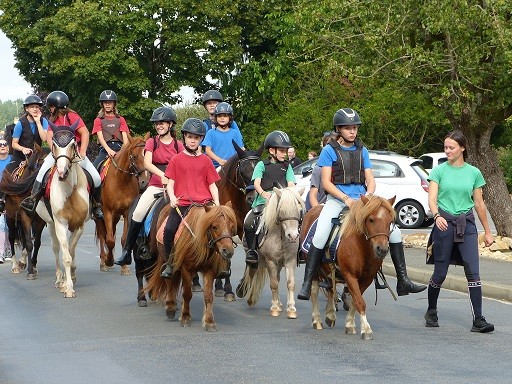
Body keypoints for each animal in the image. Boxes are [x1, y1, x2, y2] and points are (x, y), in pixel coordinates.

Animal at [36, 122, 91, 296]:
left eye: (73, 144)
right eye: (54, 144)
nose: (62, 172)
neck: (69, 192)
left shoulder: (79, 226)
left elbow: (71, 252)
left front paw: (72, 276)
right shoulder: (60, 223)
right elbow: (66, 256)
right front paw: (68, 288)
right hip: (51, 224)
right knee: (56, 248)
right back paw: (60, 280)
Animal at [94, 132, 149, 272]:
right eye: (134, 156)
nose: (144, 182)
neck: (122, 180)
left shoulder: (126, 213)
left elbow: (123, 239)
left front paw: (124, 266)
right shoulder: (107, 212)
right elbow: (109, 240)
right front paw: (108, 261)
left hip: (116, 216)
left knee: (111, 232)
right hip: (99, 217)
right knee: (102, 235)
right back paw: (103, 261)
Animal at [212, 141, 262, 300]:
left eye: (261, 171)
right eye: (242, 172)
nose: (252, 198)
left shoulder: (241, 230)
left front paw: (243, 287)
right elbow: (225, 257)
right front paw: (228, 289)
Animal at [238, 188, 306, 318]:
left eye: (299, 211)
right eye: (281, 210)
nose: (293, 236)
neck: (280, 235)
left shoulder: (290, 261)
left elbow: (290, 283)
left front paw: (291, 309)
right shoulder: (271, 261)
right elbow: (273, 283)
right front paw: (274, 308)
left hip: (279, 264)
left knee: (277, 278)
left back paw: (279, 304)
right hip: (256, 260)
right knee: (253, 272)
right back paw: (250, 298)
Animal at [300, 195, 396, 340]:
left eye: (390, 221)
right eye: (371, 219)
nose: (382, 249)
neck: (361, 246)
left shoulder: (366, 278)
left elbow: (355, 300)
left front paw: (350, 324)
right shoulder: (349, 275)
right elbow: (359, 301)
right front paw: (366, 329)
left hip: (329, 270)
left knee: (330, 289)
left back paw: (330, 315)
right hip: (315, 269)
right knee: (314, 291)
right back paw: (317, 320)